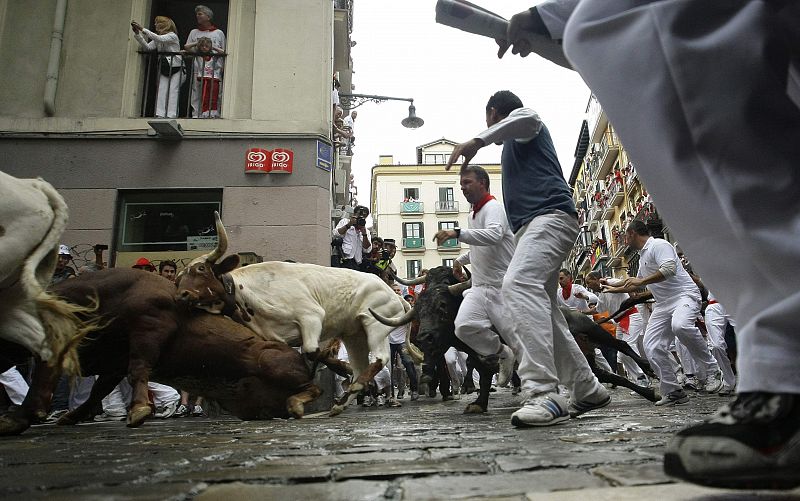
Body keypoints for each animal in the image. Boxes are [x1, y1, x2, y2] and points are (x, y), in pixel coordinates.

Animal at [0, 268, 318, 436]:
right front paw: (70, 417)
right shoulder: (113, 361)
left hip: (272, 361)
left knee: (313, 387)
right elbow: (100, 388)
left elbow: (137, 369)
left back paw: (297, 404)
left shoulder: (149, 327)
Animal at [177, 212, 410, 414]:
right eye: (179, 278)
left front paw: (340, 368)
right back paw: (342, 401)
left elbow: (311, 350)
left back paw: (354, 387)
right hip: (355, 334)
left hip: (375, 323)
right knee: (361, 366)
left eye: (201, 270)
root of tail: (393, 292)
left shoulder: (311, 316)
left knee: (380, 358)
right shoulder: (274, 336)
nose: (182, 294)